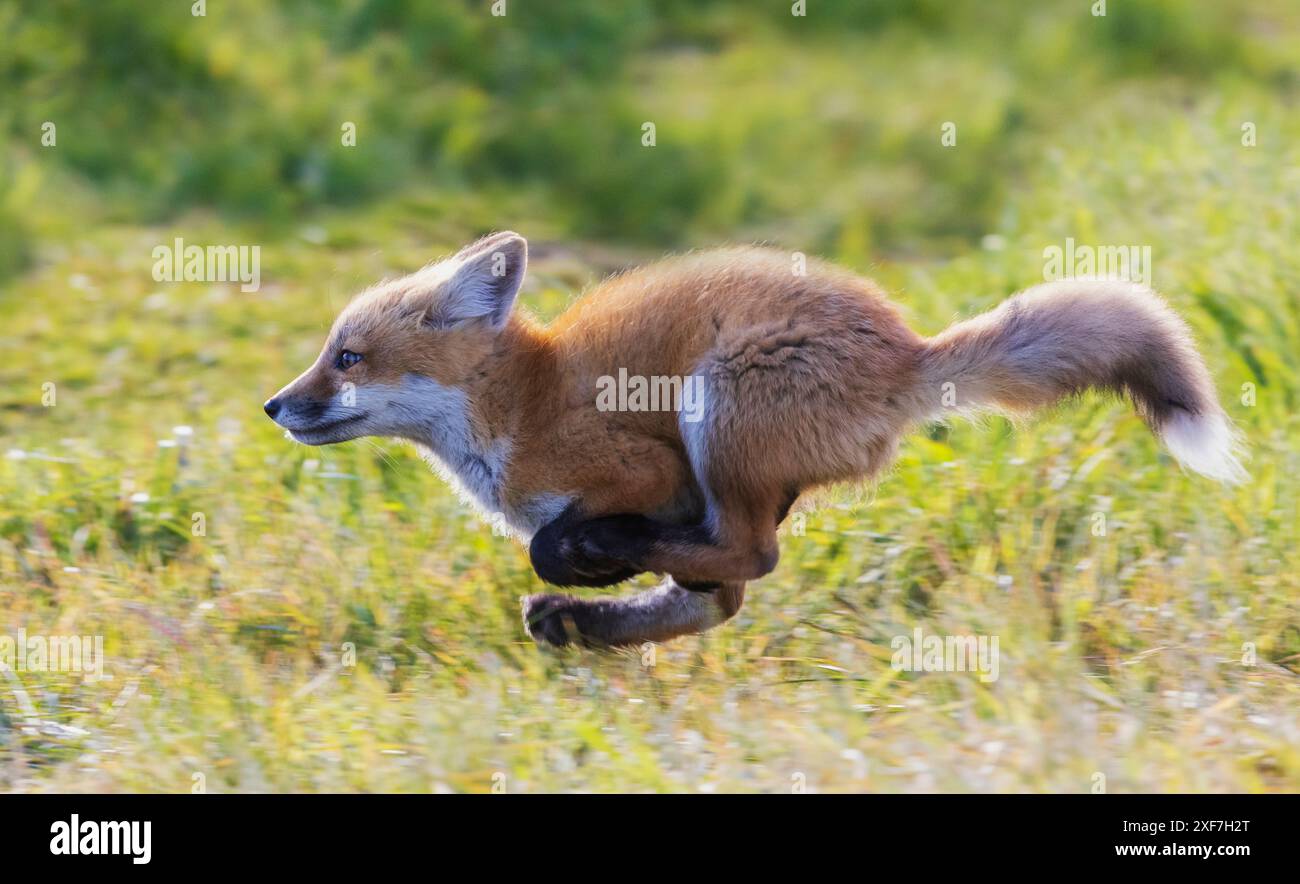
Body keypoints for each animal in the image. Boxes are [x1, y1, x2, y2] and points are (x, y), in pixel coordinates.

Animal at [265, 231, 1246, 648]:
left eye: (348, 358)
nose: (275, 406)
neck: (517, 407)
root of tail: (908, 351)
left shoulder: (646, 468)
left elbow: (558, 540)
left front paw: (587, 555)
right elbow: (700, 591)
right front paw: (595, 594)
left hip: (719, 411)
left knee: (749, 559)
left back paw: (594, 583)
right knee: (728, 585)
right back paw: (587, 623)